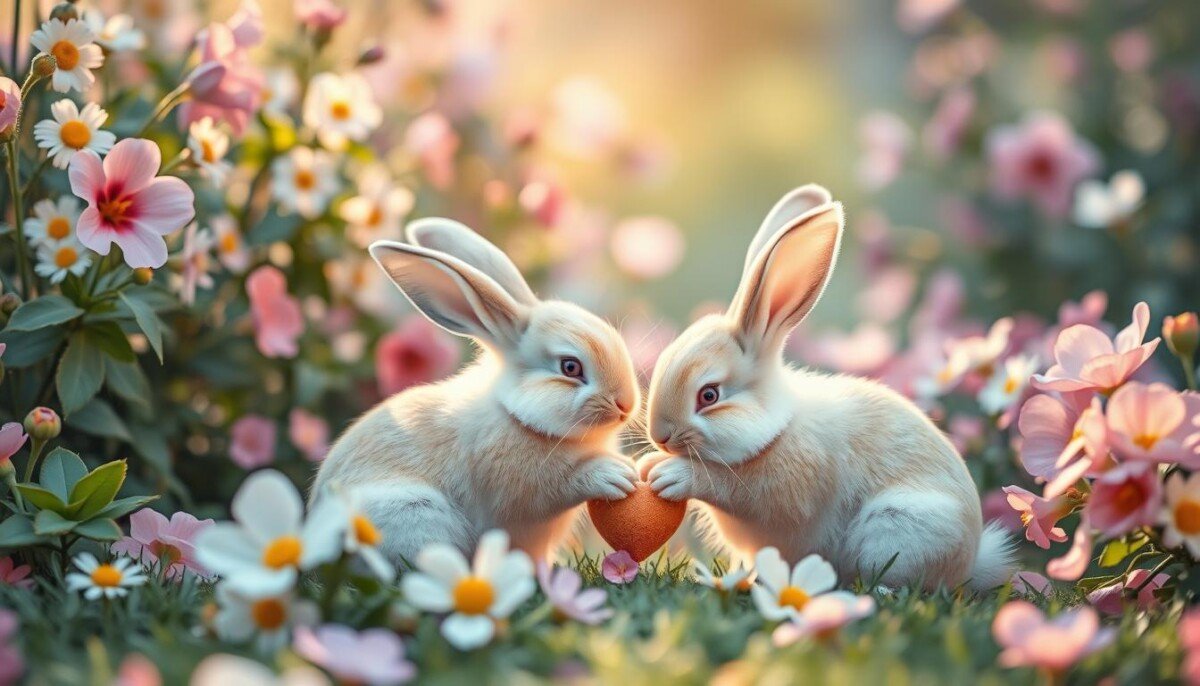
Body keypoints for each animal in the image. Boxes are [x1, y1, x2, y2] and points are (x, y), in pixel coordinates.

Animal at [311, 218, 641, 565]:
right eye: (570, 367)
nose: (626, 405)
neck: (516, 415)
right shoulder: (523, 487)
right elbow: (565, 482)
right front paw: (616, 474)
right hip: (414, 516)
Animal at [637, 185, 1015, 591]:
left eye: (709, 395)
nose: (660, 437)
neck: (777, 430)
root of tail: (972, 559)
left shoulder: (781, 489)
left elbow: (727, 486)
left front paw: (667, 474)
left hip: (897, 529)